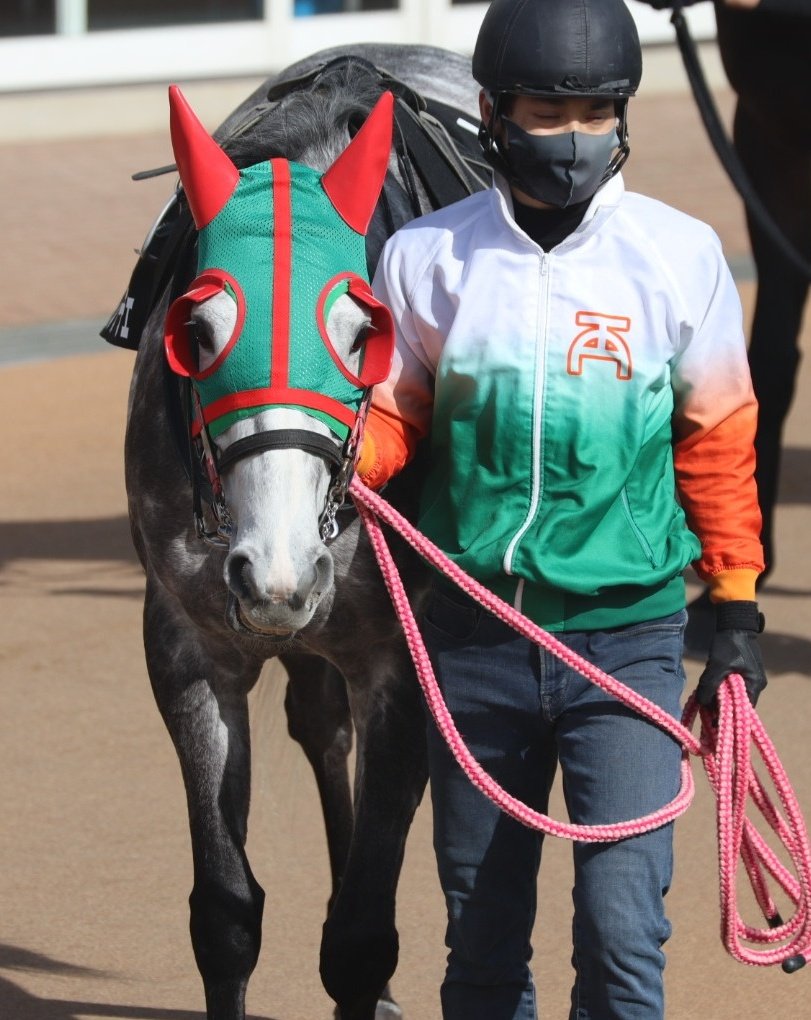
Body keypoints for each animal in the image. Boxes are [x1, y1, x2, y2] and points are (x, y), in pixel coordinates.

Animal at [122, 43, 483, 1020]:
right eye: (198, 327)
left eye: (363, 331)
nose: (275, 576)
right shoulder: (190, 643)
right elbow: (225, 913)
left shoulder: (400, 655)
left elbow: (359, 937)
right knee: (321, 725)